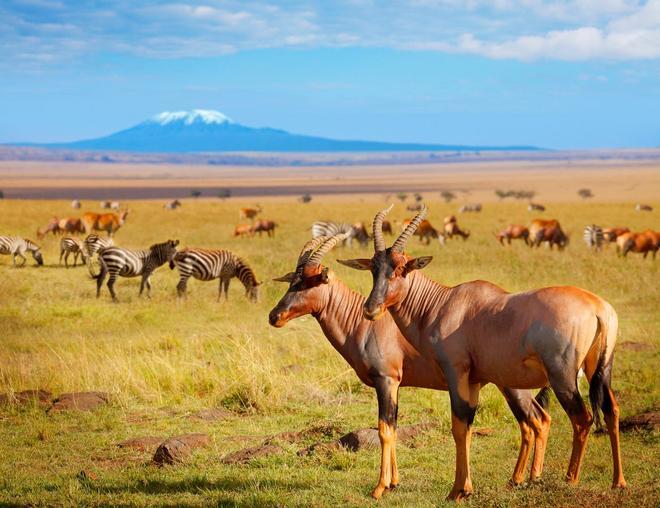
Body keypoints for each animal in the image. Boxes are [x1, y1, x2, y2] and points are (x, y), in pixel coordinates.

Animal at [270, 234, 556, 500]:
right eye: (292, 281)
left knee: (537, 419)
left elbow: (384, 429)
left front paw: (379, 488)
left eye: (309, 281)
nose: (275, 316)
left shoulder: (386, 380)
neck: (365, 324)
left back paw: (530, 479)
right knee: (530, 423)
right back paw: (517, 480)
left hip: (512, 385)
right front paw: (394, 483)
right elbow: (393, 428)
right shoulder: (396, 385)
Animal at [340, 205, 628, 500]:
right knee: (611, 410)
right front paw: (464, 488)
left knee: (582, 419)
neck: (444, 303)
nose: (370, 309)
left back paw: (570, 480)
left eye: (400, 268)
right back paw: (618, 481)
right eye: (374, 268)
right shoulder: (475, 380)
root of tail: (597, 307)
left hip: (563, 377)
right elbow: (467, 427)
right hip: (600, 369)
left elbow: (458, 426)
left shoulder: (456, 373)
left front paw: (457, 491)